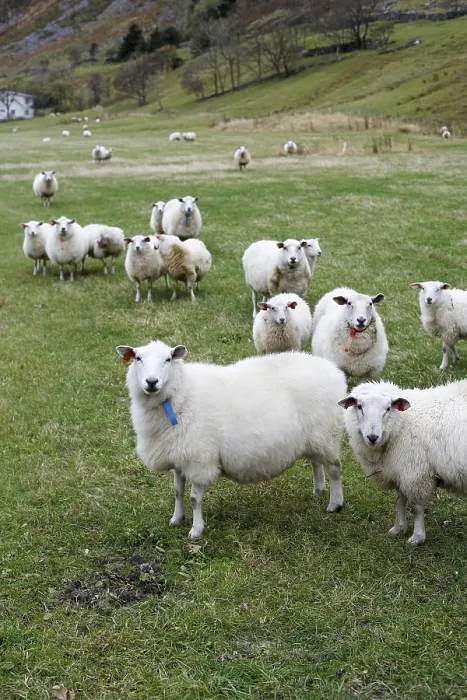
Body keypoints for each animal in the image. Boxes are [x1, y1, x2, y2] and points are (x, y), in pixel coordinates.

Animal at [116, 340, 346, 538]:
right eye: (137, 358)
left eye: (168, 359)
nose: (151, 382)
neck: (180, 394)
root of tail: (333, 370)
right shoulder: (180, 456)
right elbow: (177, 492)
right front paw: (176, 519)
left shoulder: (199, 459)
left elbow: (194, 498)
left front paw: (196, 530)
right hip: (314, 438)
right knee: (316, 463)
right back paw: (318, 491)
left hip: (327, 434)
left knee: (335, 469)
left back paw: (335, 504)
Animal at [339, 378, 467, 545]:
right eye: (359, 406)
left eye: (388, 408)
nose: (372, 437)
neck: (402, 423)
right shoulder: (400, 469)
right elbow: (399, 501)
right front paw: (399, 528)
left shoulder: (415, 473)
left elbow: (416, 508)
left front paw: (417, 537)